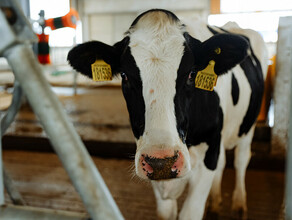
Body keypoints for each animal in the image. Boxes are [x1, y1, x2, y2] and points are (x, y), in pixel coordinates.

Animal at [67, 9, 268, 220]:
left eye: (191, 74)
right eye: (124, 75)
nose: (160, 162)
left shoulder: (209, 150)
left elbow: (191, 212)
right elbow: (165, 212)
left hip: (248, 126)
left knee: (241, 159)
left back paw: (239, 205)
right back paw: (215, 205)